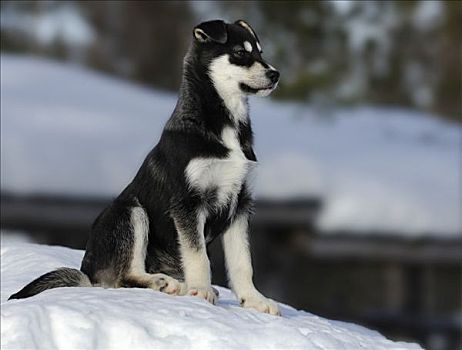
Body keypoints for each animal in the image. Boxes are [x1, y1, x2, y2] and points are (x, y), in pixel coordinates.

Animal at [8, 18, 282, 314]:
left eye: (260, 53)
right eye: (240, 53)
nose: (275, 75)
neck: (223, 124)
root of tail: (89, 275)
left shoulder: (240, 204)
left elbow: (243, 262)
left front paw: (254, 300)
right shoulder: (187, 203)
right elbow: (198, 255)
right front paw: (201, 290)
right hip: (131, 212)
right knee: (123, 278)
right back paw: (165, 283)